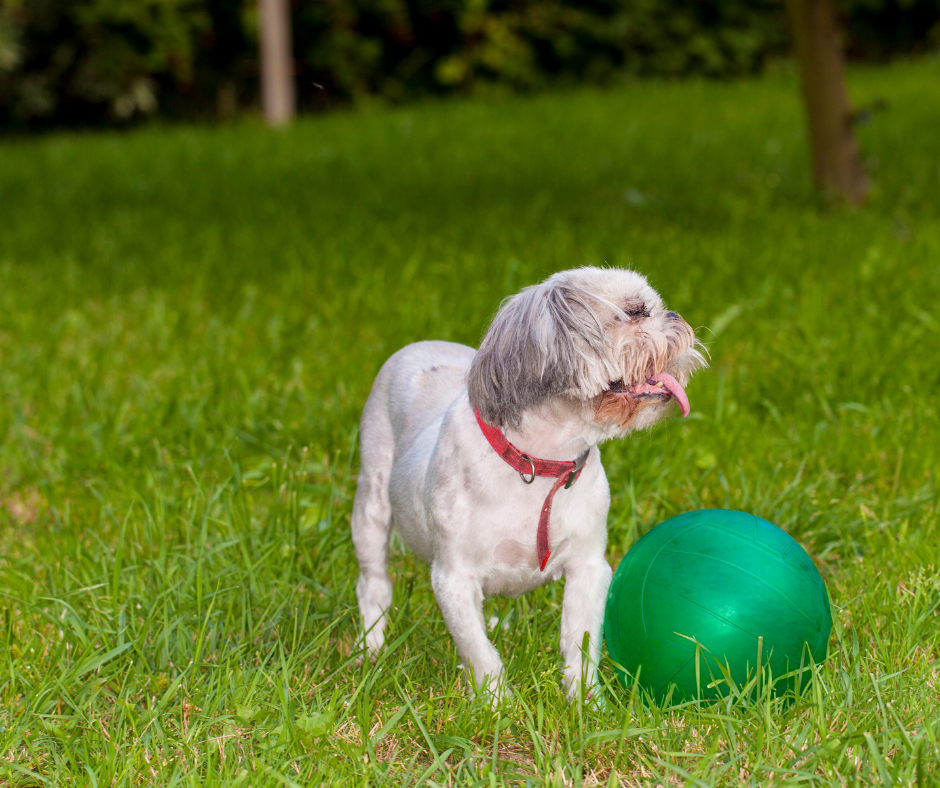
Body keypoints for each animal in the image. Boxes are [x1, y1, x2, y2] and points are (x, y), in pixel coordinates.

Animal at [352, 268, 704, 700]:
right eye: (636, 311)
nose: (675, 316)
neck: (541, 462)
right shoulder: (453, 578)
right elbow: (478, 650)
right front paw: (495, 704)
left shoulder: (589, 566)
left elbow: (580, 641)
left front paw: (584, 702)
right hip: (370, 509)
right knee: (374, 585)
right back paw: (370, 648)